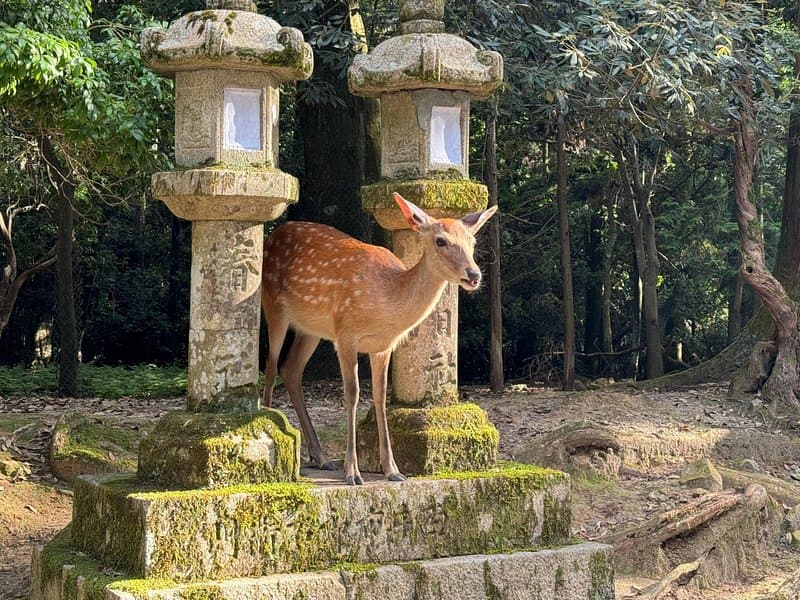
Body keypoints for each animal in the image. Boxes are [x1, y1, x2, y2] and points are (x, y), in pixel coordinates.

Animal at [260, 192, 497, 485]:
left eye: (472, 242)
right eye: (441, 240)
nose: (474, 275)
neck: (385, 299)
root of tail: (272, 235)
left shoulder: (383, 346)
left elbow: (380, 396)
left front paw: (392, 469)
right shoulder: (345, 335)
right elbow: (352, 394)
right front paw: (353, 472)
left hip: (310, 329)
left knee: (290, 369)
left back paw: (321, 457)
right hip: (273, 306)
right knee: (271, 367)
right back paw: (272, 427)